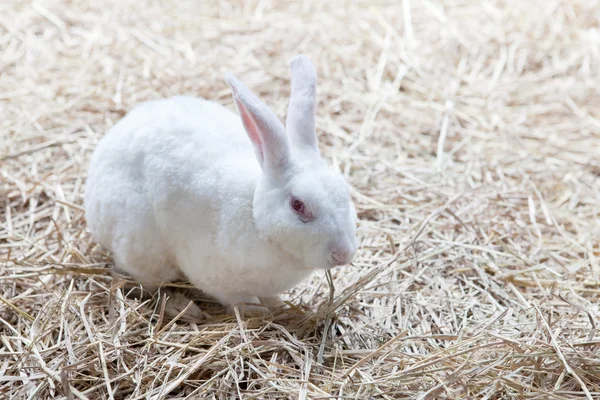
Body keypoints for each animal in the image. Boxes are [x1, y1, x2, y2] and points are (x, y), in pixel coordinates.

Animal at [84, 56, 356, 318]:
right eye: (297, 205)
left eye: (345, 193)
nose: (343, 254)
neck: (256, 219)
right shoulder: (218, 279)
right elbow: (238, 299)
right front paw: (257, 311)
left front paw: (277, 305)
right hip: (142, 248)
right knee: (149, 286)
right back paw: (185, 309)